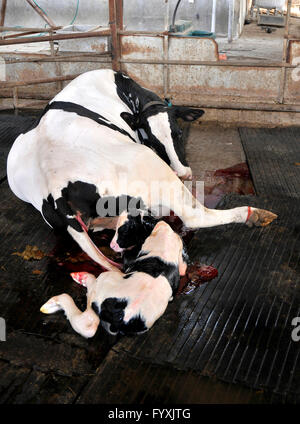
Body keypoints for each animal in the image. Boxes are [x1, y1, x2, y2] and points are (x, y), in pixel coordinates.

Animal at [7, 68, 278, 270]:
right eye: (152, 141)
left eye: (178, 133)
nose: (183, 173)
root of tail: (54, 190)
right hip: (151, 168)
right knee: (194, 215)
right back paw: (253, 214)